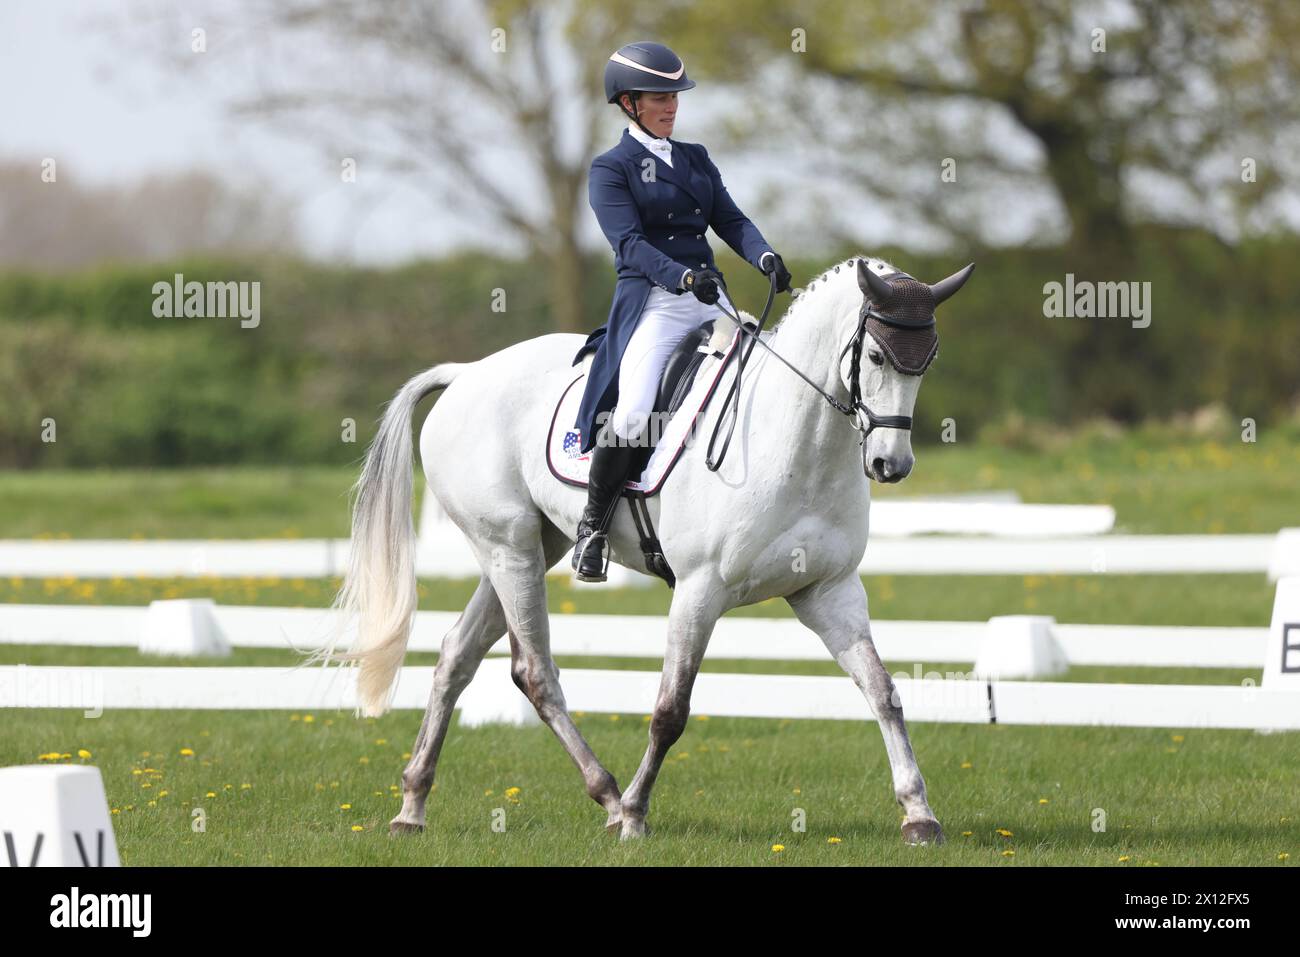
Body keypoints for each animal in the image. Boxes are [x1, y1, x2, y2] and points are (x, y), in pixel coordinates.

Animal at [325, 256, 977, 842]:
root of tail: (467, 374)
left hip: (528, 547)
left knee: (456, 656)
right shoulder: (700, 590)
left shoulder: (828, 592)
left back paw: (412, 806)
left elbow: (884, 692)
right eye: (876, 357)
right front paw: (637, 815)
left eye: (928, 361)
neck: (792, 441)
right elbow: (670, 711)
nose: (890, 465)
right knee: (535, 673)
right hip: (508, 548)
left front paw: (919, 815)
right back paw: (611, 799)